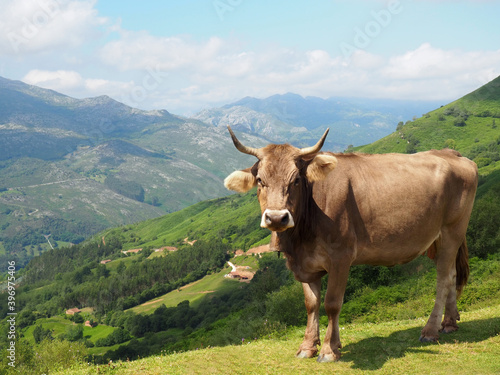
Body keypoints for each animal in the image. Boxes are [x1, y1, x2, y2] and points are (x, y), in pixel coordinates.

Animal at [225, 126, 478, 364]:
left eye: (296, 180)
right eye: (260, 181)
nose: (277, 218)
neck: (300, 239)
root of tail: (450, 153)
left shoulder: (341, 256)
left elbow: (332, 303)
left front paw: (329, 350)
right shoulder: (306, 263)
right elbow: (311, 304)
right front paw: (308, 346)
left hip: (453, 229)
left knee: (443, 279)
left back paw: (430, 330)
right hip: (440, 238)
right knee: (452, 274)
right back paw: (449, 323)